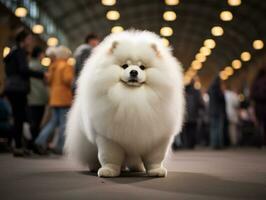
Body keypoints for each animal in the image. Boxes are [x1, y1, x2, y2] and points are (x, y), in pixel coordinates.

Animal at [65, 29, 185, 177]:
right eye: (124, 66)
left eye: (142, 67)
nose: (133, 72)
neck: (132, 98)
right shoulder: (108, 138)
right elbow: (109, 157)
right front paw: (108, 171)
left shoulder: (157, 138)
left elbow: (155, 158)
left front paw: (156, 171)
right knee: (92, 156)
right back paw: (95, 167)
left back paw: (138, 168)